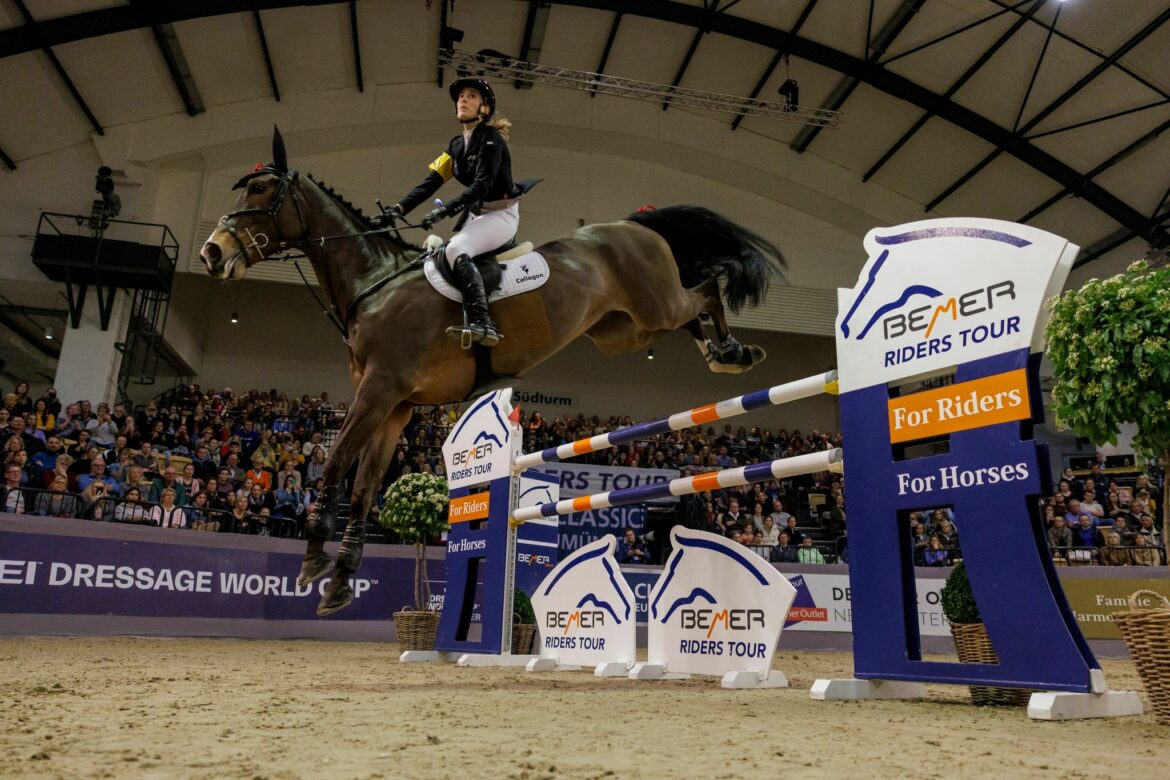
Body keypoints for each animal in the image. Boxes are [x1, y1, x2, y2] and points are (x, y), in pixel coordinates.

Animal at [201, 126, 786, 617]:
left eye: (259, 192)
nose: (211, 253)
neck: (375, 284)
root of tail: (631, 223)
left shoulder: (379, 391)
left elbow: (337, 461)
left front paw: (313, 560)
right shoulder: (395, 407)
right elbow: (364, 487)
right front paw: (341, 582)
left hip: (654, 303)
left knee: (705, 287)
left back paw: (733, 350)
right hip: (624, 331)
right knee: (690, 310)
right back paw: (726, 352)